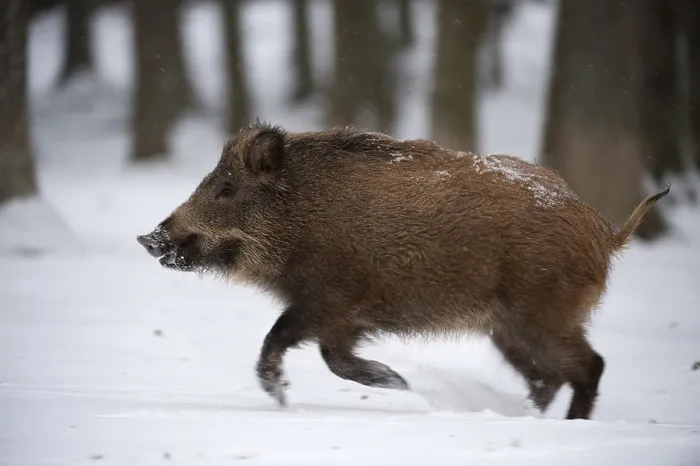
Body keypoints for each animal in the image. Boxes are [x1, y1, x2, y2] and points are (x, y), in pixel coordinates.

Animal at [136, 121, 669, 420]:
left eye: (226, 189)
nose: (149, 238)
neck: (302, 216)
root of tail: (604, 232)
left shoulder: (329, 301)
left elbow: (280, 339)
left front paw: (284, 399)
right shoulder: (345, 318)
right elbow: (333, 358)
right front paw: (400, 384)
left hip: (542, 317)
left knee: (589, 367)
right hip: (508, 330)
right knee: (548, 379)